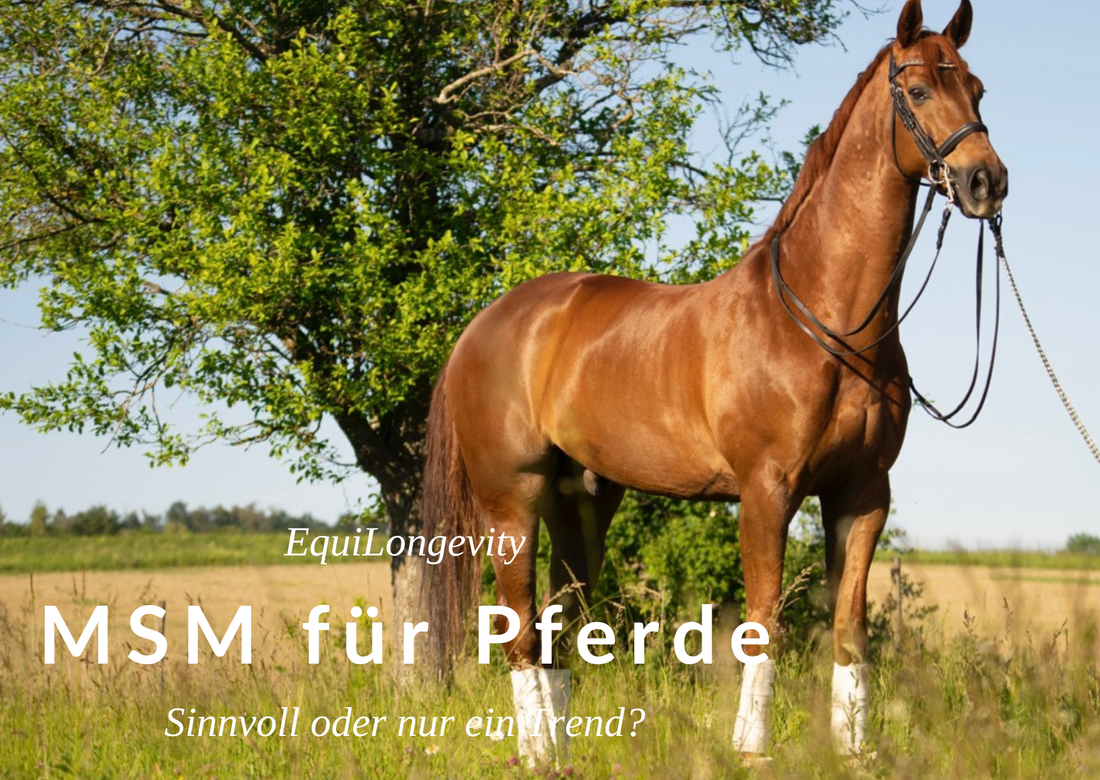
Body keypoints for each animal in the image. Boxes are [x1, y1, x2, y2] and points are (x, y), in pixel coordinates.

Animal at [421, 0, 1006, 763]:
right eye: (917, 90)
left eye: (977, 89)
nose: (987, 182)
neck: (825, 320)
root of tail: (481, 327)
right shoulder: (766, 491)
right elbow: (764, 623)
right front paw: (752, 750)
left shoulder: (862, 494)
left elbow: (850, 629)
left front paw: (854, 752)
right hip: (510, 503)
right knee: (518, 632)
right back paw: (540, 755)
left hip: (580, 506)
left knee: (556, 630)